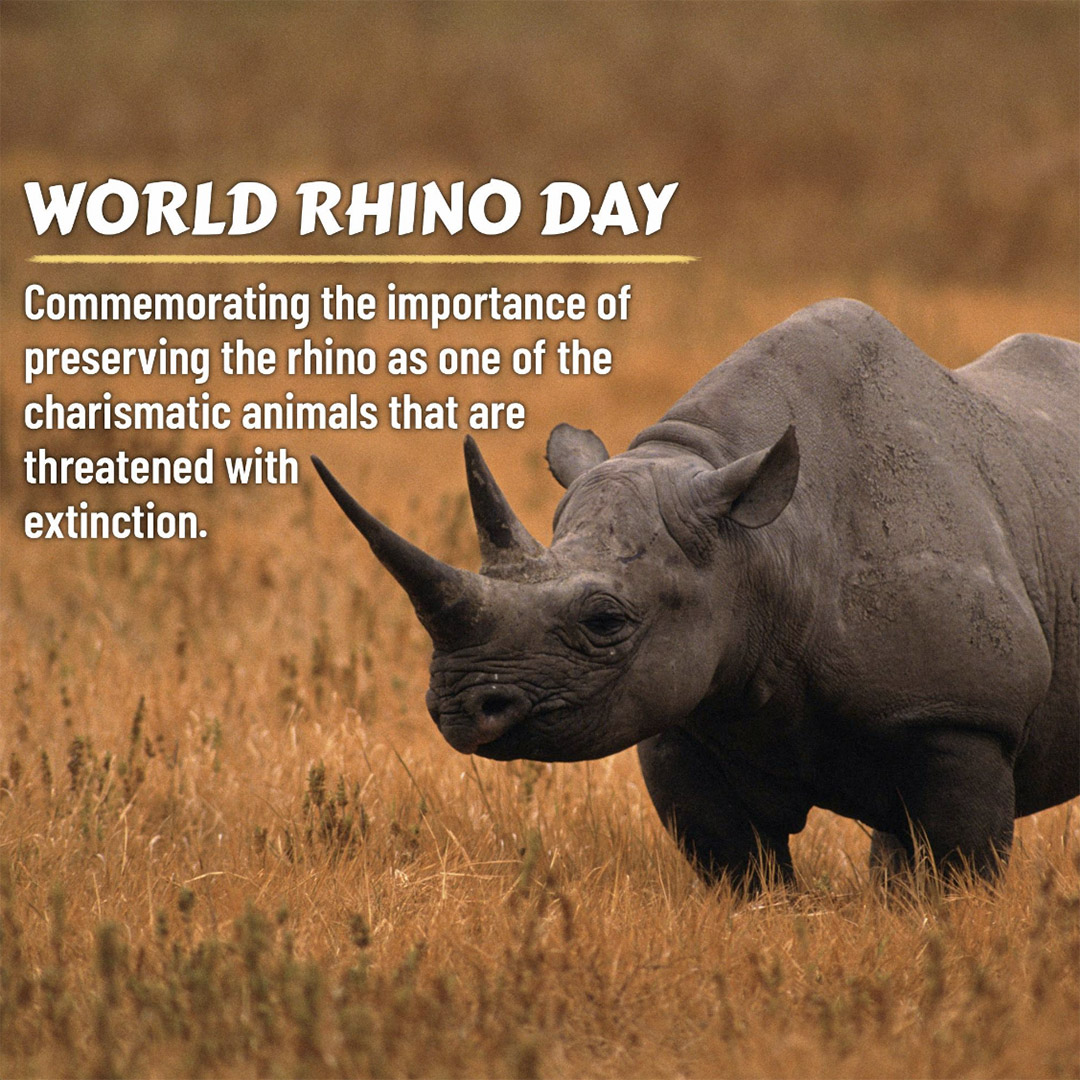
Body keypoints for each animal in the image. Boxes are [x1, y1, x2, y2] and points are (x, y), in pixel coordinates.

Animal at [313, 299, 1079, 890]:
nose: (460, 707)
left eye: (604, 620)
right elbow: (739, 868)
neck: (763, 546)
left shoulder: (961, 712)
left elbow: (956, 870)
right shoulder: (681, 711)